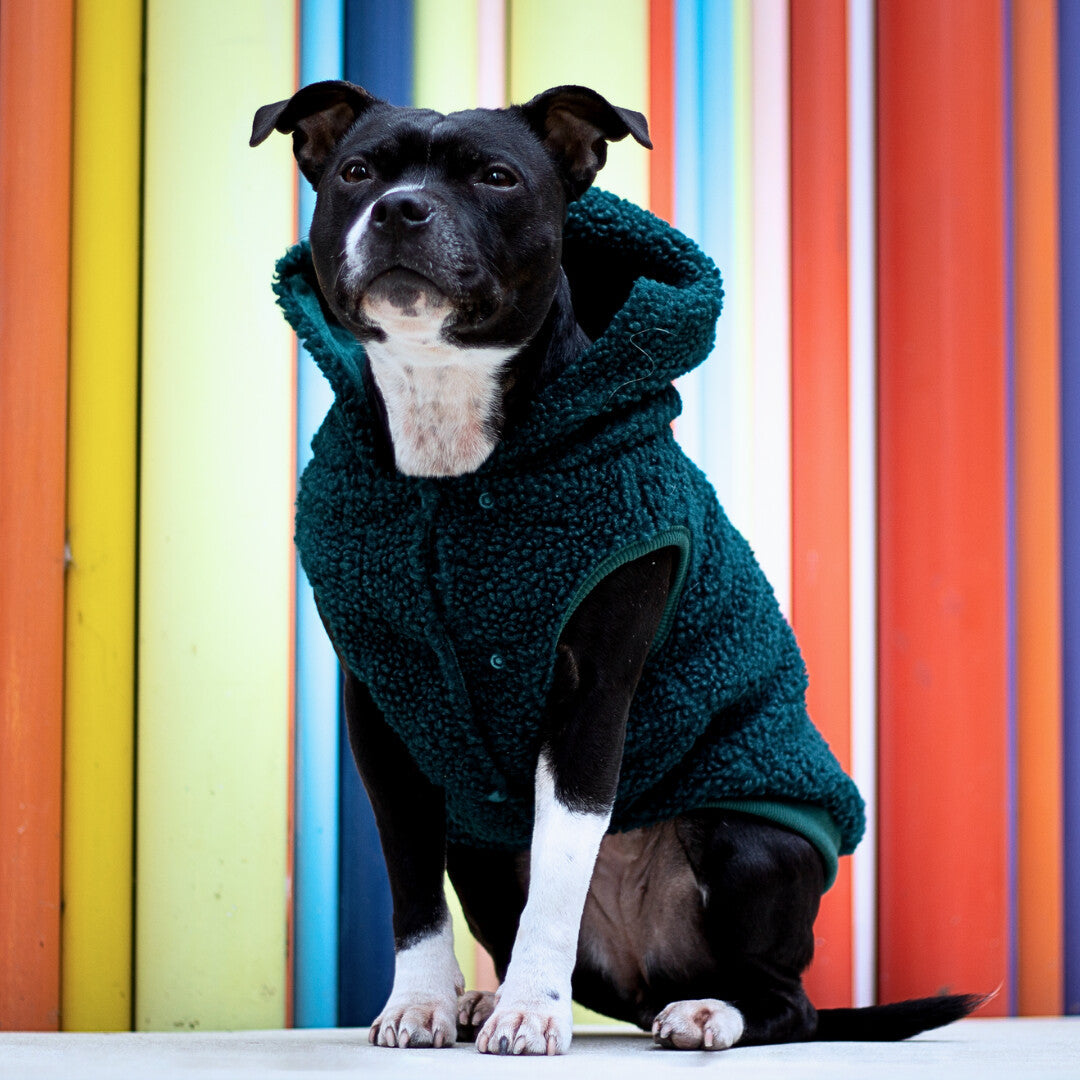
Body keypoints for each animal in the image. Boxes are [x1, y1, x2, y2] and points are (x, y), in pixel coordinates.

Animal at [248, 82, 984, 1054]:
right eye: (357, 171)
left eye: (497, 177)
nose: (402, 208)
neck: (450, 435)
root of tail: (646, 976)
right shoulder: (386, 707)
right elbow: (411, 884)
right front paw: (424, 1002)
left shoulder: (592, 696)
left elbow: (564, 866)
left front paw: (530, 1011)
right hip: (482, 847)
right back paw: (493, 998)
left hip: (747, 841)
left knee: (787, 1002)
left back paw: (707, 1011)